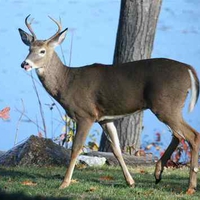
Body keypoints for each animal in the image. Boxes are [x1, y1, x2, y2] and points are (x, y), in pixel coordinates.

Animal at [18, 15, 199, 194]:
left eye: (42, 51)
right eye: (29, 49)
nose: (25, 64)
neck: (67, 83)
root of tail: (189, 69)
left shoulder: (86, 115)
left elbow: (76, 148)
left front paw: (64, 183)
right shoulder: (105, 118)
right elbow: (116, 149)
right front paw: (130, 181)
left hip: (167, 105)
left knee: (192, 135)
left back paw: (190, 187)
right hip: (168, 107)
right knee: (178, 135)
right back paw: (158, 173)